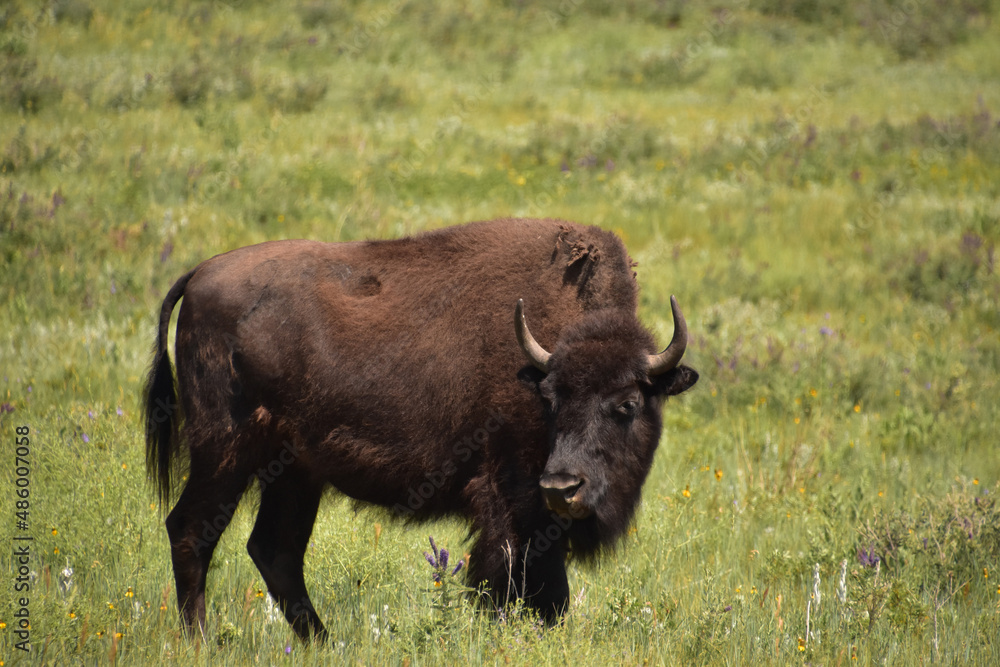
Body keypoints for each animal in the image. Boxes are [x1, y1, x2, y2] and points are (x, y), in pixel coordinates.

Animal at [145, 217, 696, 640]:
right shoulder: (512, 503)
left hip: (294, 473)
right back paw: (201, 643)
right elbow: (517, 584)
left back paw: (324, 643)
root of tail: (199, 273)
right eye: (551, 399)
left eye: (627, 403)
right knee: (191, 531)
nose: (564, 487)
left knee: (275, 551)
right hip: (224, 453)